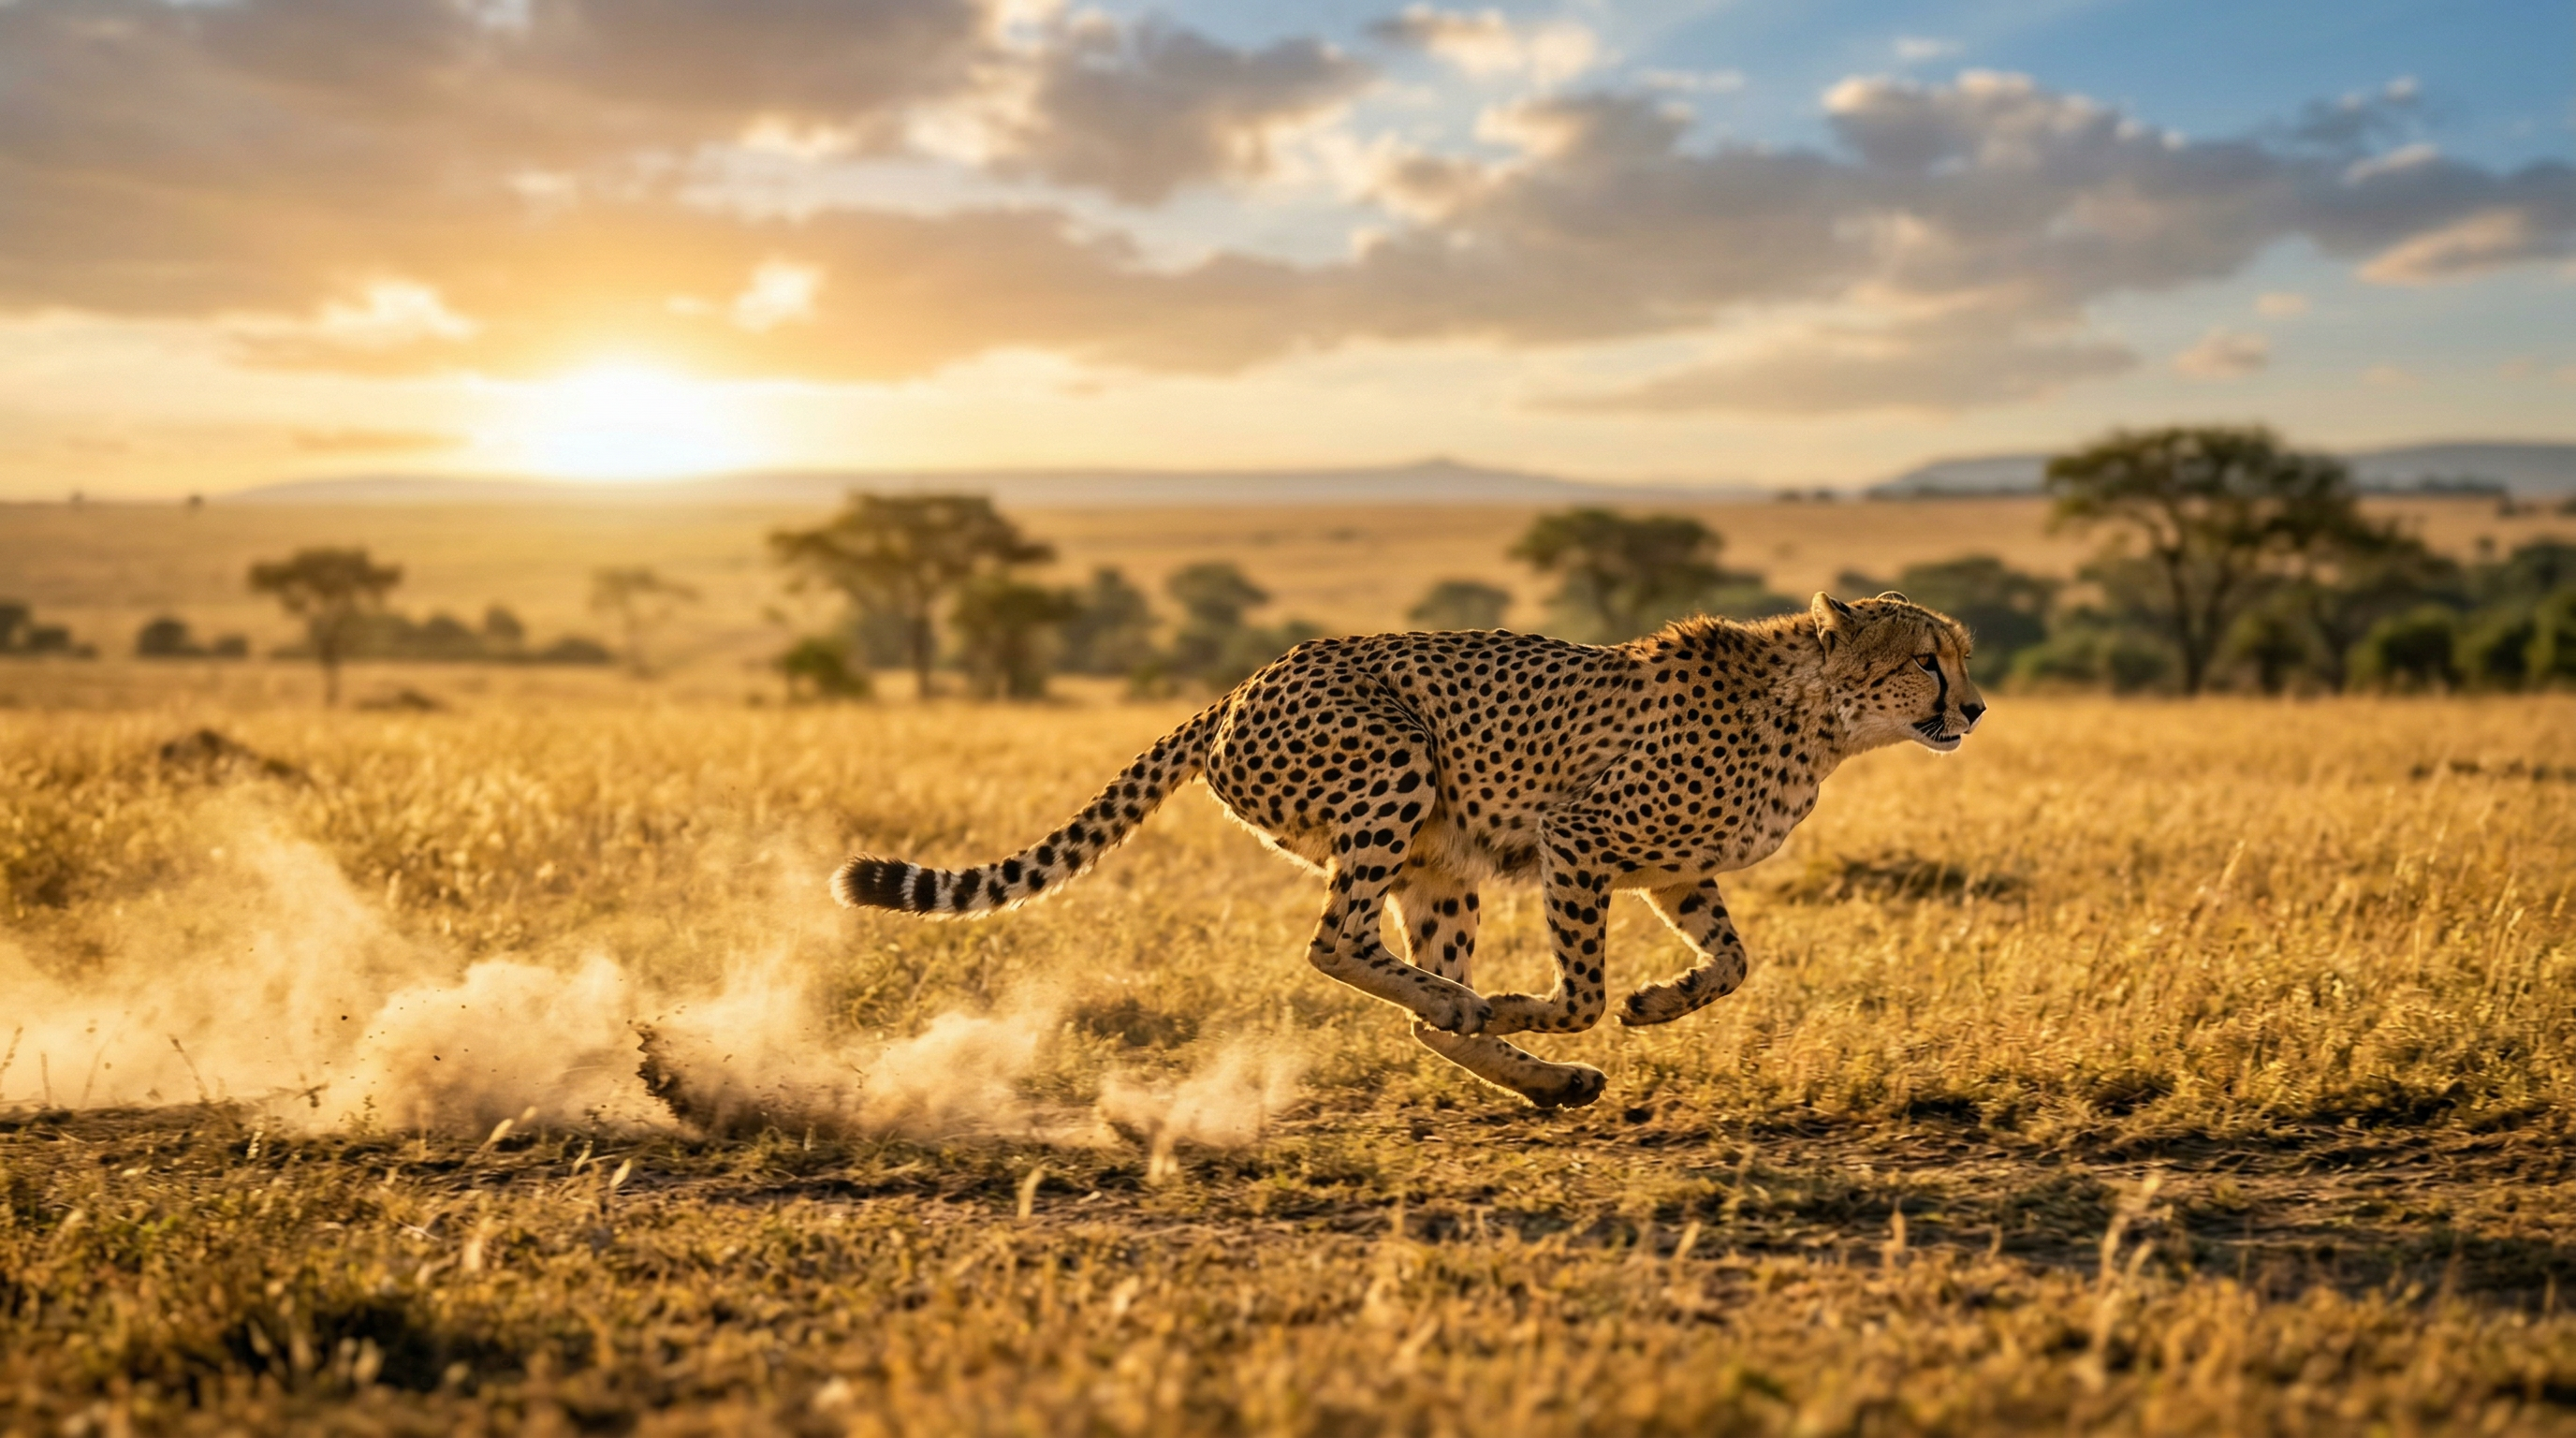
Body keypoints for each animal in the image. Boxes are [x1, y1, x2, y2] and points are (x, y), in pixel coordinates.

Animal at [832, 590, 1985, 1109]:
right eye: (1927, 660)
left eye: (1960, 658)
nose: (1974, 708)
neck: (1819, 719)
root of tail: (1243, 683)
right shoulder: (1577, 835)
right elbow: (1581, 988)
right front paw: (1547, 1006)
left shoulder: (1674, 866)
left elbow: (1734, 962)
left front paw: (1661, 1002)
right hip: (1397, 766)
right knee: (1336, 944)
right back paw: (1483, 1014)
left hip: (1439, 863)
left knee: (1407, 988)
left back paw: (1530, 1072)